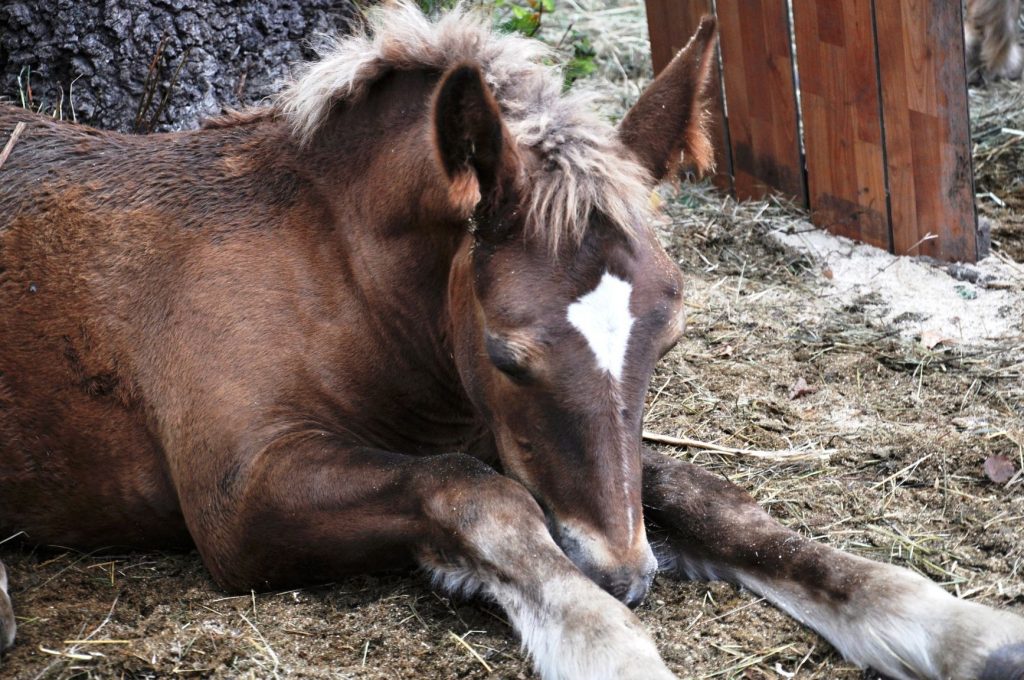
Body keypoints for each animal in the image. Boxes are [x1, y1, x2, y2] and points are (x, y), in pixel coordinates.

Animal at [1, 4, 1022, 678]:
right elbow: (481, 497)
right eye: (505, 354)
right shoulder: (237, 502)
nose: (627, 575)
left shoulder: (510, 445)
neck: (321, 272)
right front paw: (606, 644)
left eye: (669, 338)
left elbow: (700, 494)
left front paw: (963, 631)